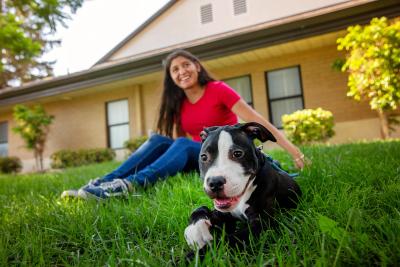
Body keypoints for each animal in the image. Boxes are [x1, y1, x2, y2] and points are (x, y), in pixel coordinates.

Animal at [184, 123, 300, 255]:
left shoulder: (261, 225)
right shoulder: (223, 213)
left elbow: (229, 241)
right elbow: (200, 208)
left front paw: (197, 255)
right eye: (203, 157)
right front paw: (195, 231)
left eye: (238, 153)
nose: (215, 183)